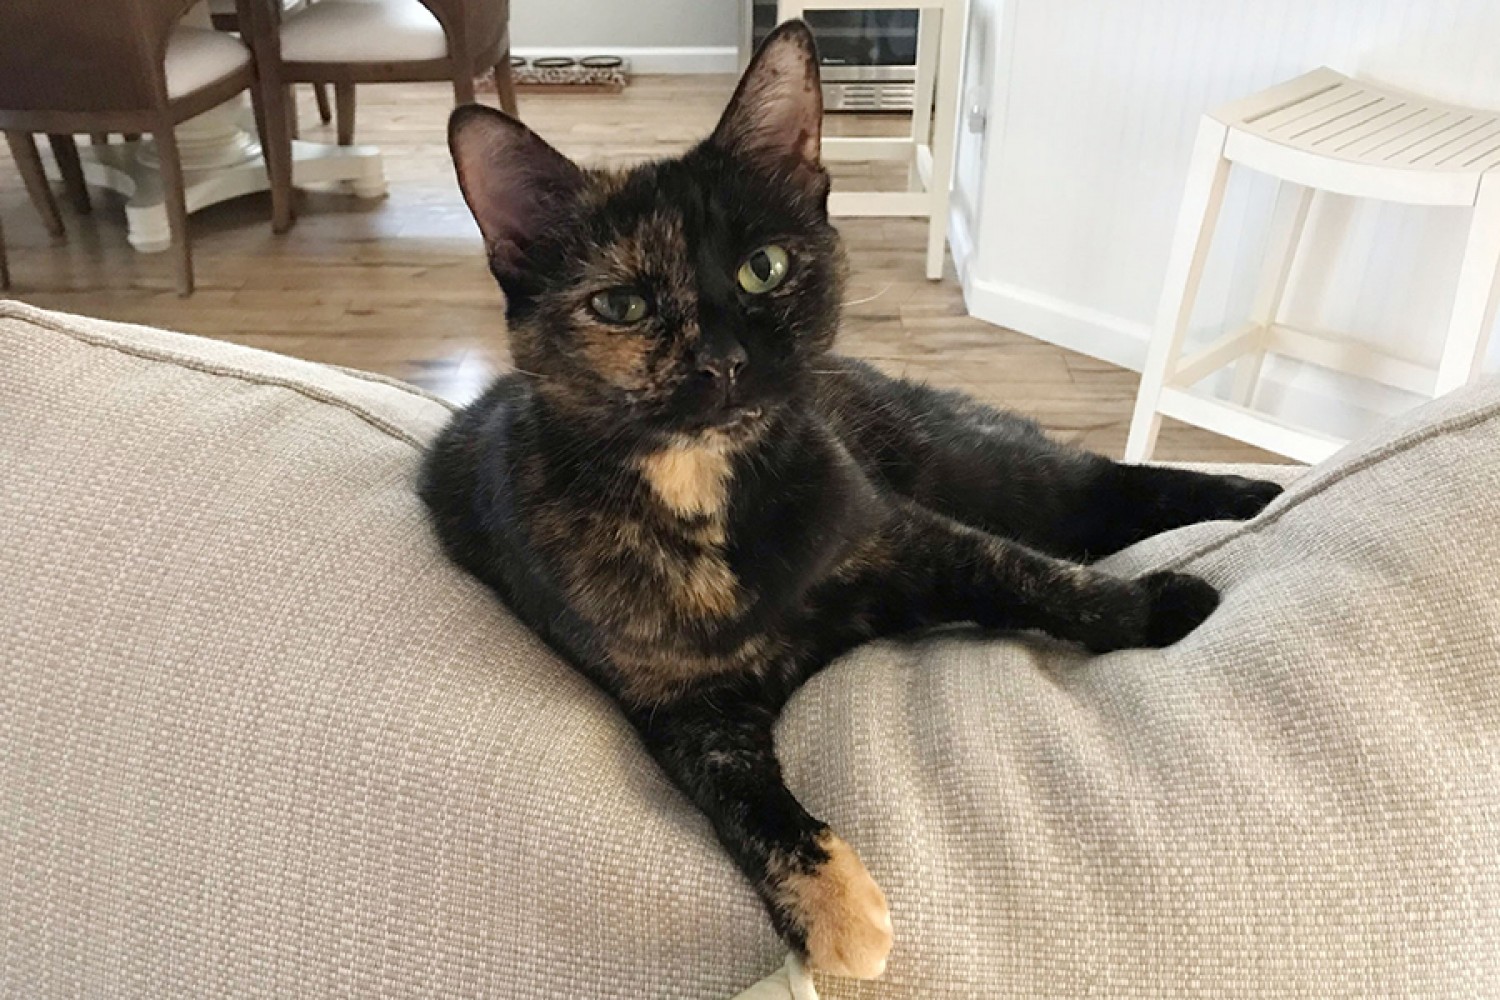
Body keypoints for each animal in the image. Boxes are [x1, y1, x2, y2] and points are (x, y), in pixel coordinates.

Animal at [421, 21, 1282, 980]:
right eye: (621, 304)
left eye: (763, 267)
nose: (723, 361)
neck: (712, 506)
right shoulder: (680, 711)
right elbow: (745, 805)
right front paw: (838, 914)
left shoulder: (908, 538)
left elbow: (1046, 583)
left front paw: (1157, 605)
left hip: (976, 467)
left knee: (1101, 487)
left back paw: (1256, 494)